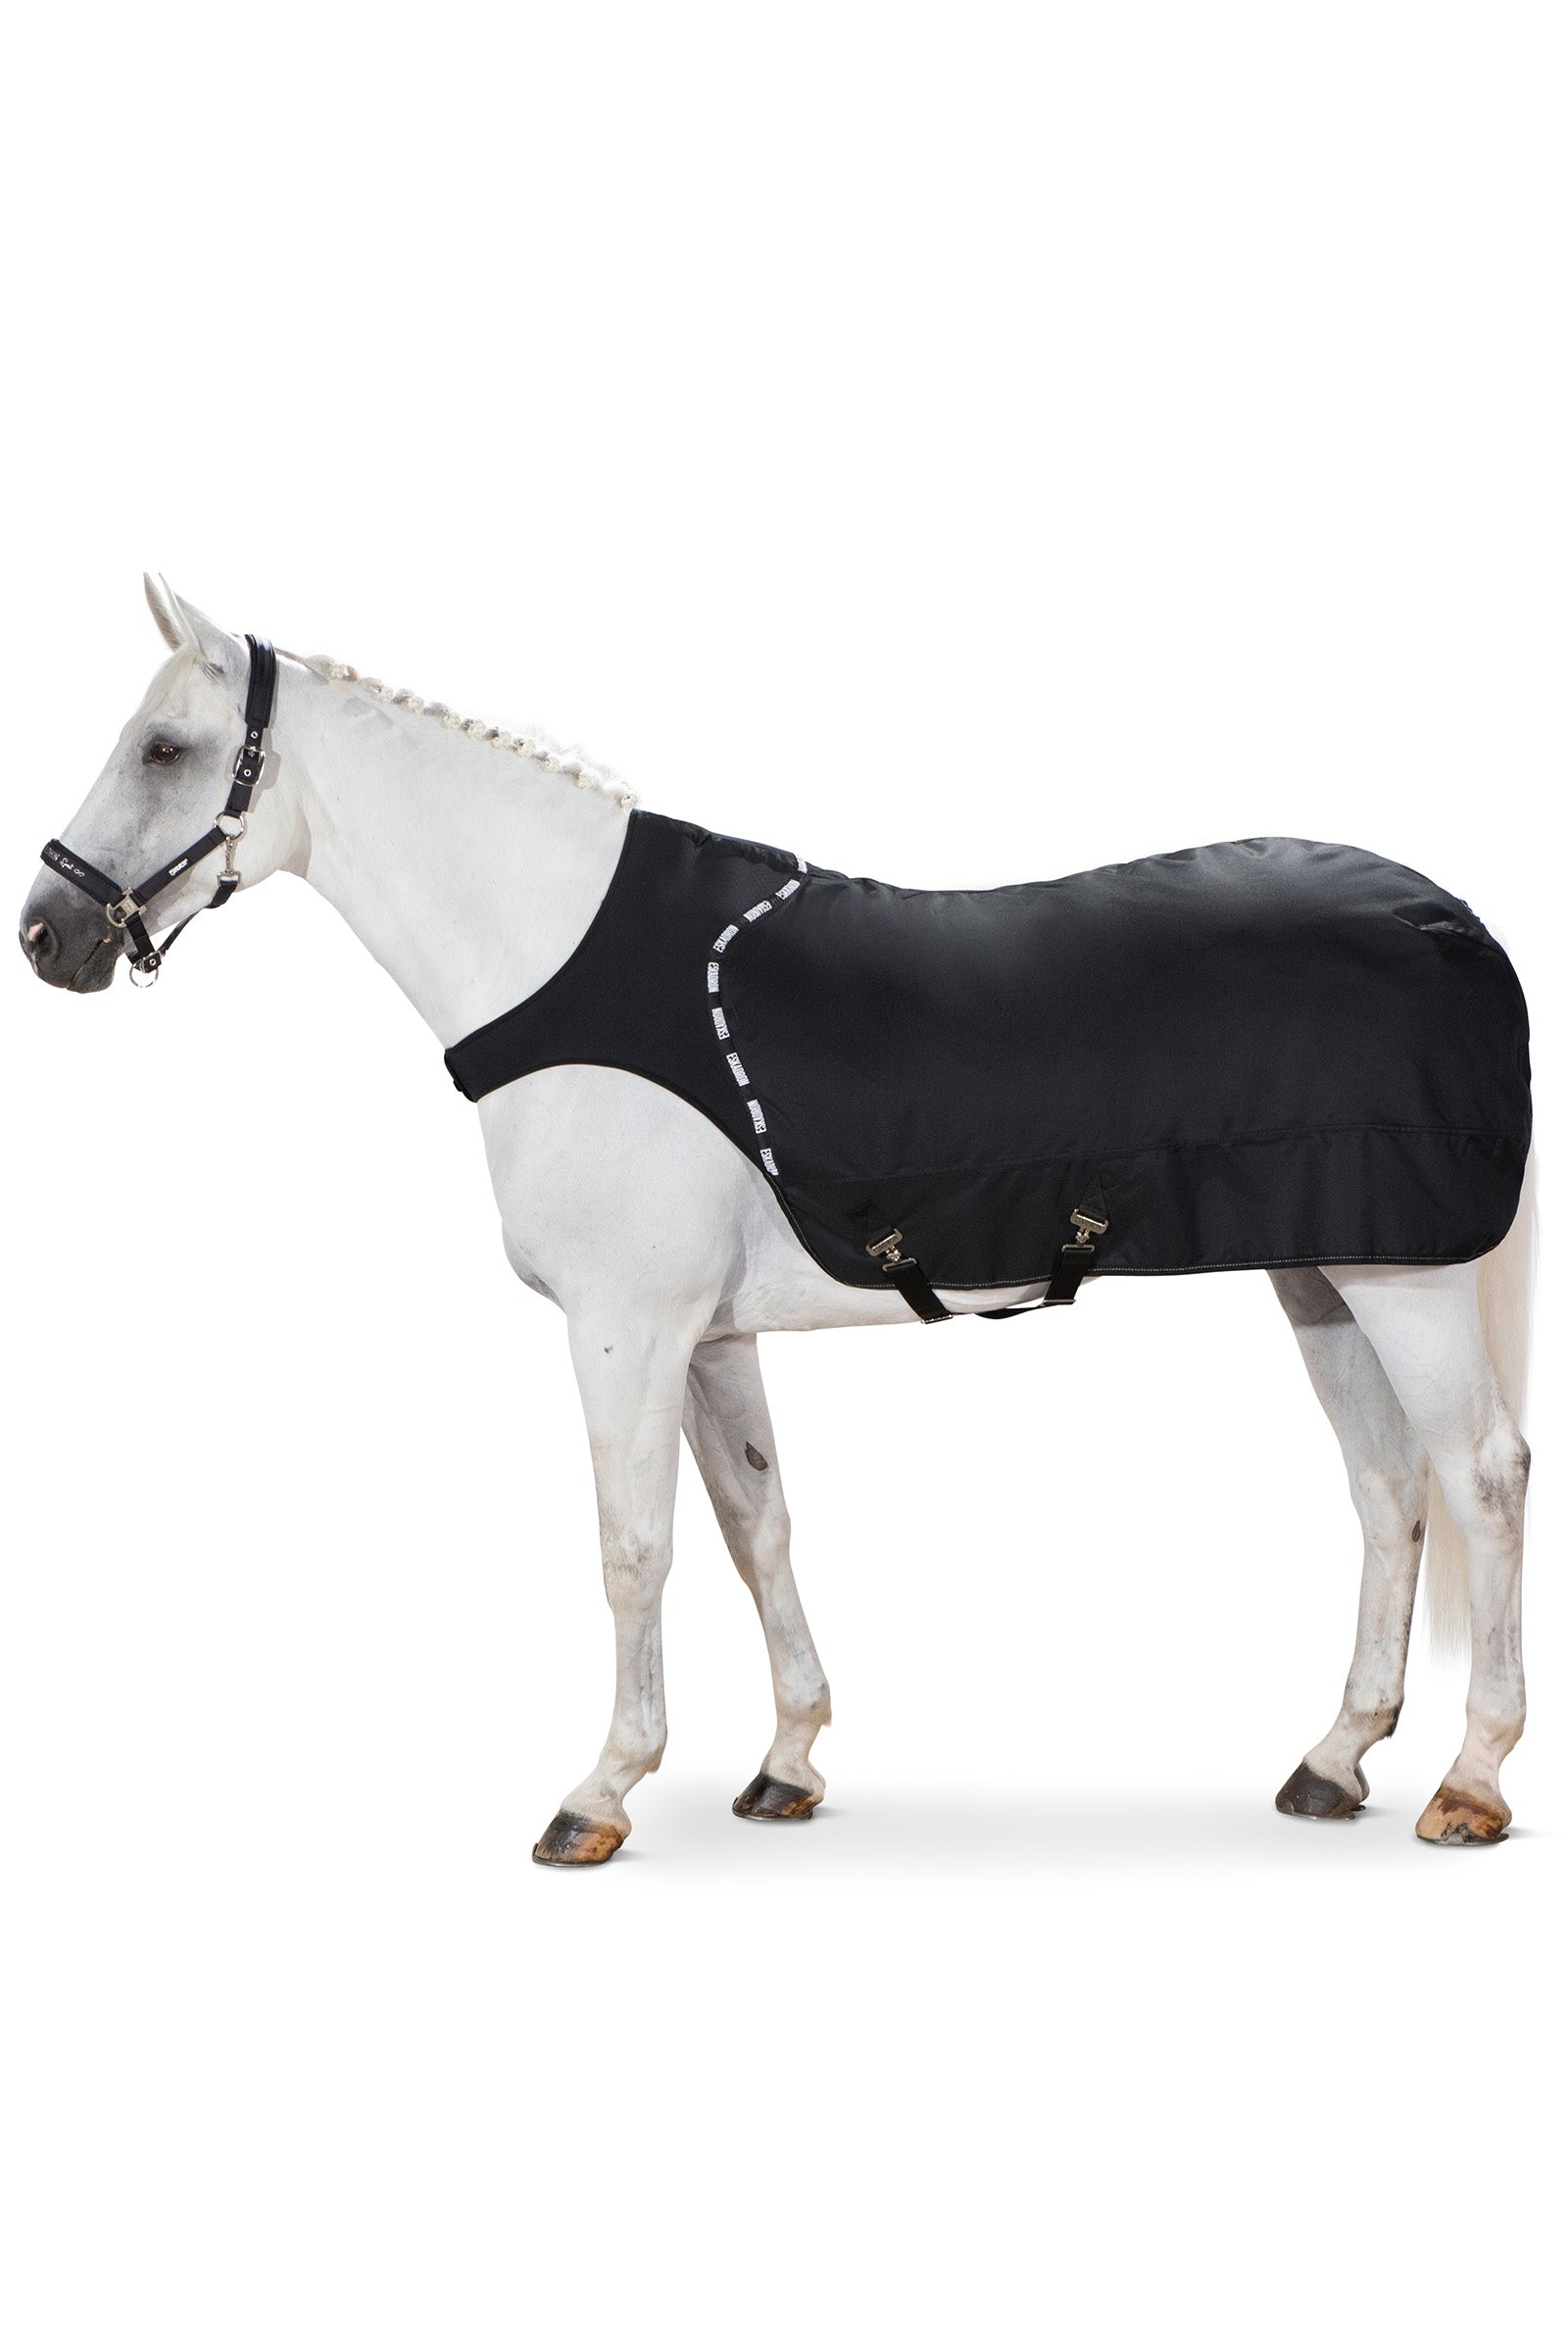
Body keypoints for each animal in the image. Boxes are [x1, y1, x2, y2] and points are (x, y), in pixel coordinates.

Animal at [19, 578, 1534, 1867]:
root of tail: (1450, 921)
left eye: (163, 748)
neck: (558, 958)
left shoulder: (625, 1329)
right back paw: (1334, 1760)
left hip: (1399, 1281)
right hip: (1323, 1276)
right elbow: (757, 1525)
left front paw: (600, 1792)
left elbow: (634, 1546)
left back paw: (1469, 1782)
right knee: (1386, 1488)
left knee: (1480, 1476)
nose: (45, 937)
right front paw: (788, 1762)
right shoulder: (705, 1336)